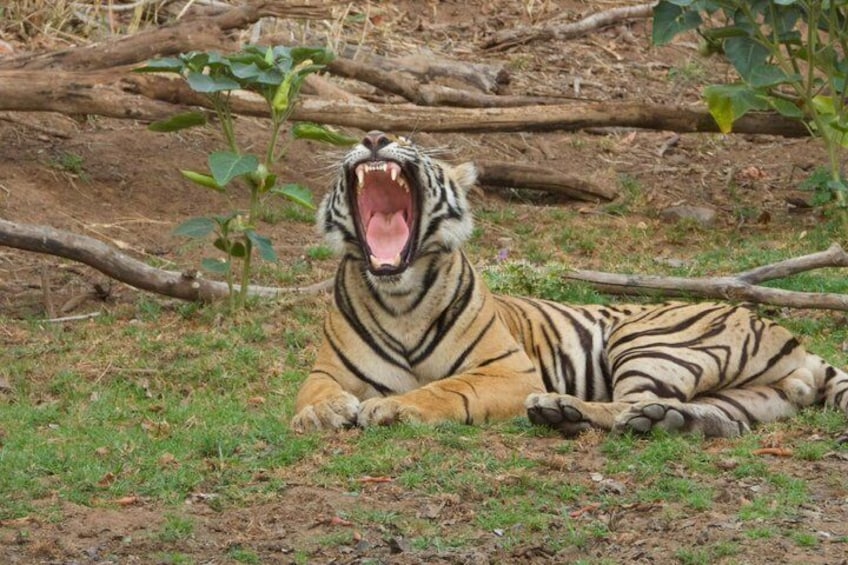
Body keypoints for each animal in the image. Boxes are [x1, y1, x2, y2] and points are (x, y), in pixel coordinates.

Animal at [290, 131, 848, 438]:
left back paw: (562, 410)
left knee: (624, 404)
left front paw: (391, 406)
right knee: (718, 421)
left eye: (410, 143)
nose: (374, 138)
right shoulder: (327, 367)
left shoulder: (510, 371)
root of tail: (794, 340)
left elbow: (447, 388)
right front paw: (321, 413)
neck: (399, 294)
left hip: (652, 341)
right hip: (747, 397)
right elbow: (310, 389)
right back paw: (656, 421)